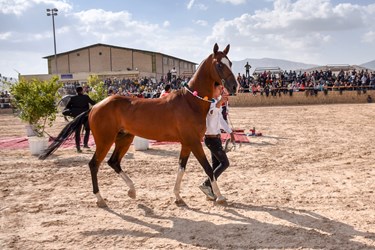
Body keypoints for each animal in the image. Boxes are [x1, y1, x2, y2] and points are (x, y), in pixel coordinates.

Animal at [40, 43, 238, 207]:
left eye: (231, 63)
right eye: (220, 65)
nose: (234, 86)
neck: (191, 101)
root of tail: (94, 107)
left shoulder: (187, 143)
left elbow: (181, 169)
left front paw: (178, 197)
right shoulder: (194, 142)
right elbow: (208, 168)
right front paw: (220, 197)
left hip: (124, 138)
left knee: (113, 162)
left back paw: (132, 191)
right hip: (105, 141)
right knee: (94, 164)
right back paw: (100, 199)